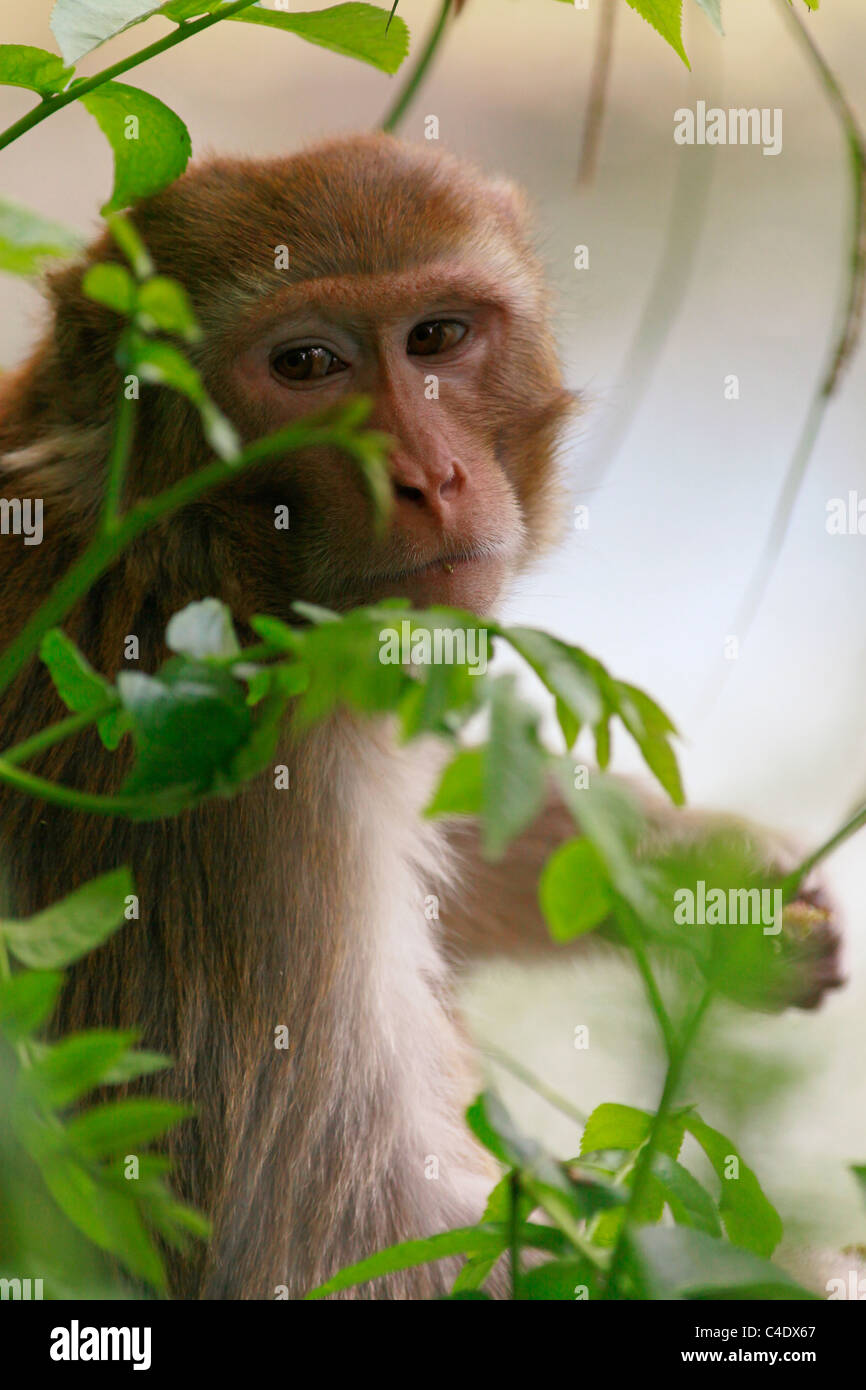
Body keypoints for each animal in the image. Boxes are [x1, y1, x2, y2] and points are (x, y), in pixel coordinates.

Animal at [0, 133, 842, 1300]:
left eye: (436, 336)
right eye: (307, 365)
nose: (429, 478)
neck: (180, 548)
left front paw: (697, 875)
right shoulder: (238, 798)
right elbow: (322, 1246)